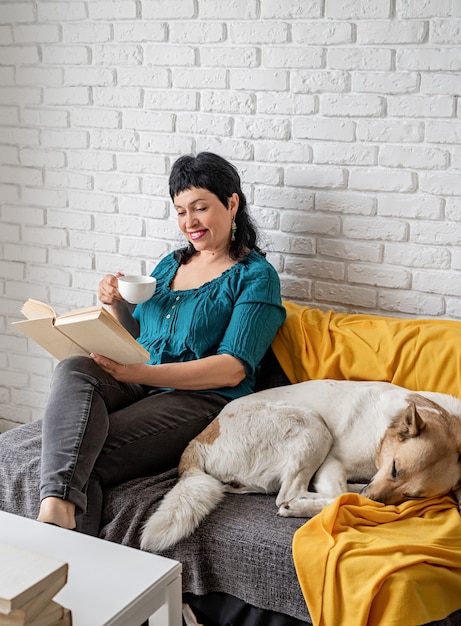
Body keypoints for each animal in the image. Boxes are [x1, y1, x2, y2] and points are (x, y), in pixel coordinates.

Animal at [139, 380, 460, 552]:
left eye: (413, 496)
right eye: (394, 468)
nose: (374, 500)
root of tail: (200, 438)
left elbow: (347, 494)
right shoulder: (332, 463)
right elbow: (341, 495)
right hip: (313, 425)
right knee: (289, 493)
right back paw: (299, 504)